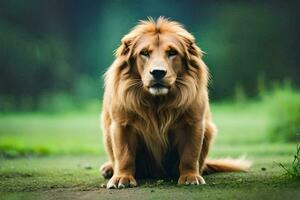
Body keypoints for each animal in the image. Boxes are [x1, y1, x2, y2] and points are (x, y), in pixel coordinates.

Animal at [99, 17, 250, 189]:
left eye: (172, 53)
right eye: (144, 53)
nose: (158, 72)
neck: (157, 102)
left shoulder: (193, 123)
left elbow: (190, 155)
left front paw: (190, 177)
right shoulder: (122, 124)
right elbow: (124, 155)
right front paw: (121, 178)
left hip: (209, 130)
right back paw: (109, 169)